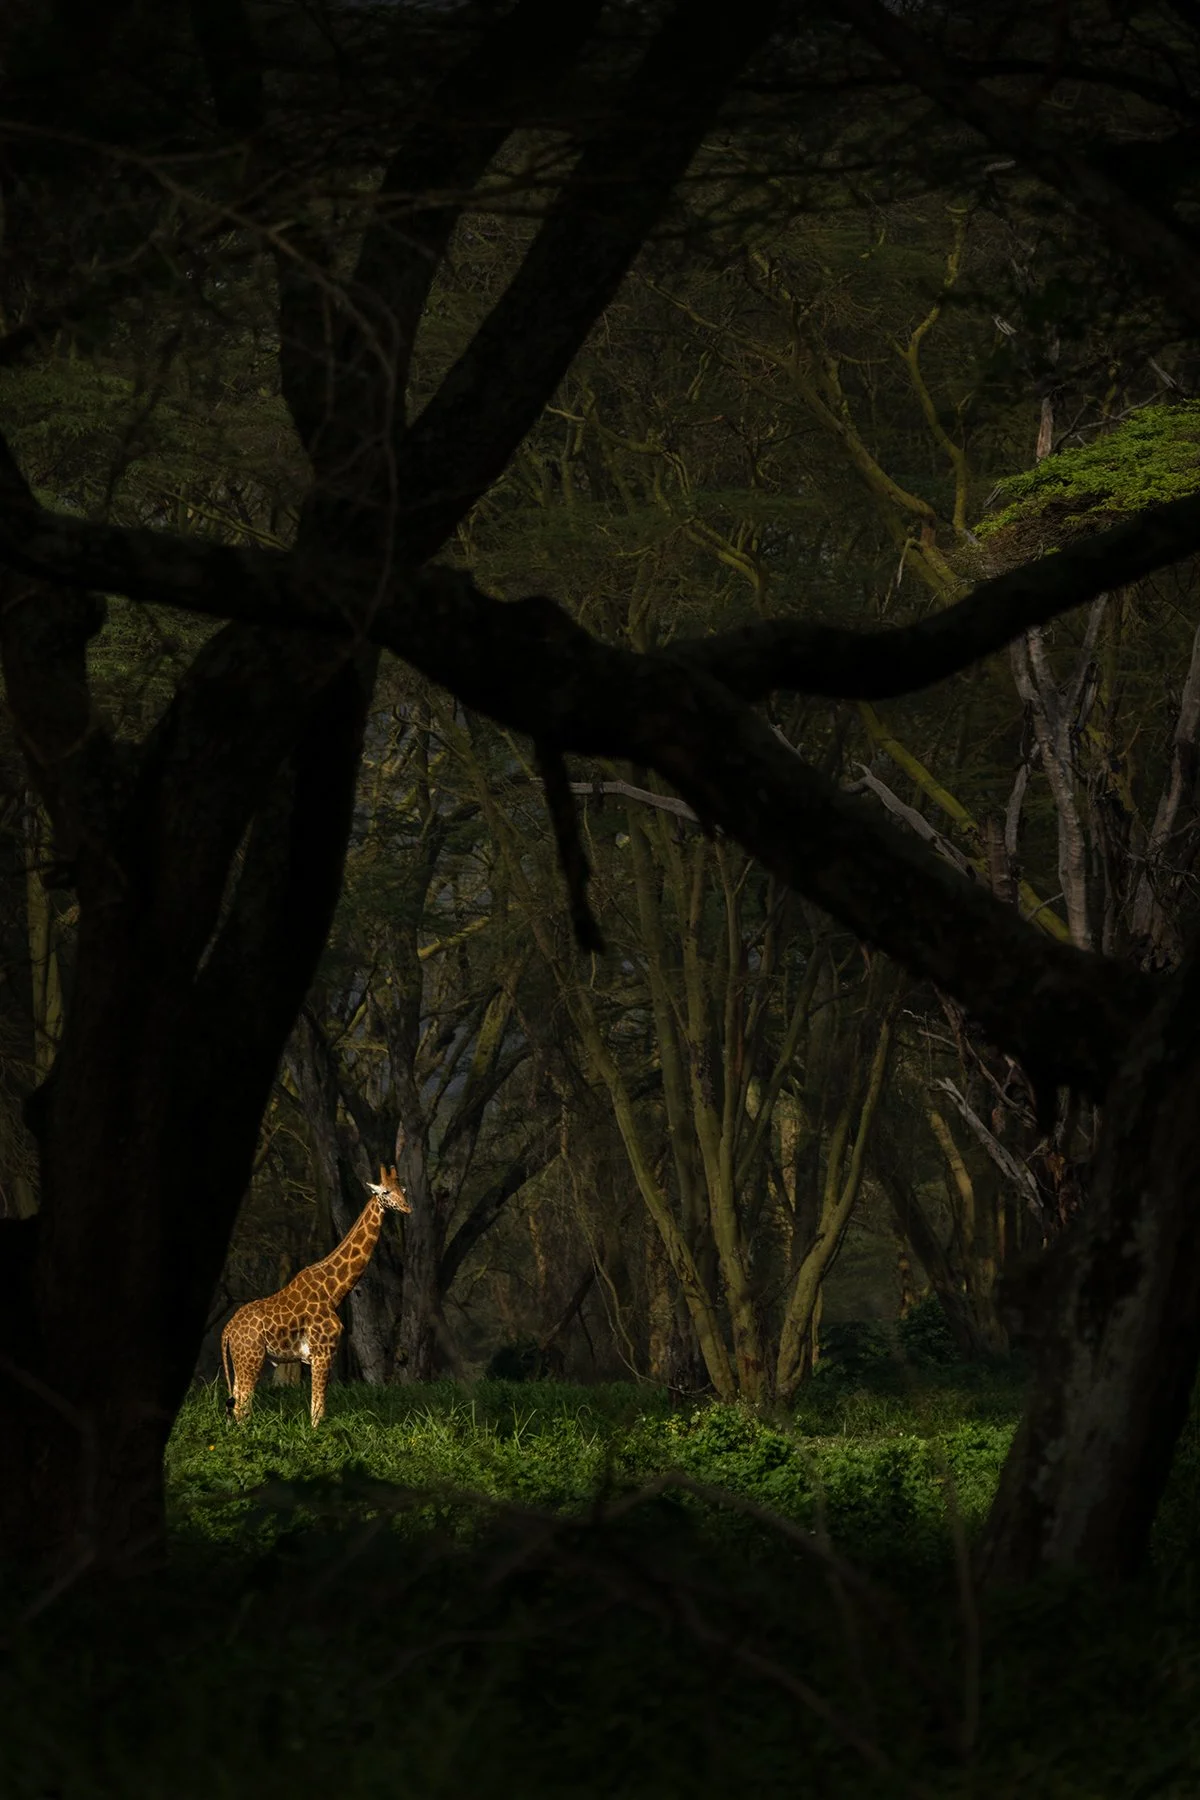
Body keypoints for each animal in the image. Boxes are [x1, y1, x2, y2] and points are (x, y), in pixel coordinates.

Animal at [221, 1165, 411, 1426]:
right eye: (385, 1192)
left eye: (402, 1190)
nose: (407, 1208)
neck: (333, 1291)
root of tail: (227, 1330)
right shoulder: (322, 1353)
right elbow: (318, 1411)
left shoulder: (320, 1356)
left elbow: (317, 1407)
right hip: (251, 1359)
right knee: (242, 1406)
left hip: (241, 1361)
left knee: (235, 1404)